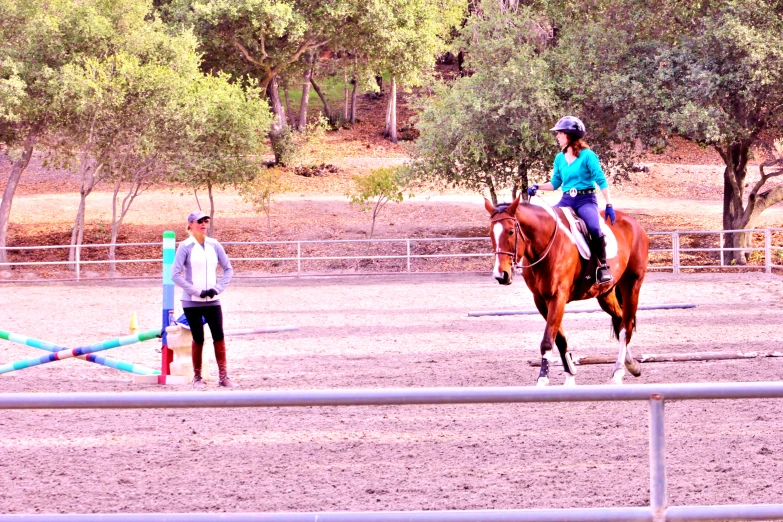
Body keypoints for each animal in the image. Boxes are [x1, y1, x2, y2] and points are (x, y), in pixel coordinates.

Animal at [484, 193, 648, 384]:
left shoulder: (558, 297)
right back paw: (632, 365)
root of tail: (634, 224)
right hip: (605, 294)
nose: (501, 275)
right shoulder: (541, 300)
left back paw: (618, 373)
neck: (545, 245)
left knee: (625, 328)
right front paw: (569, 377)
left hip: (631, 285)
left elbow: (548, 340)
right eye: (490, 233)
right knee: (620, 320)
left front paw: (542, 380)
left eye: (511, 231)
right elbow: (560, 339)